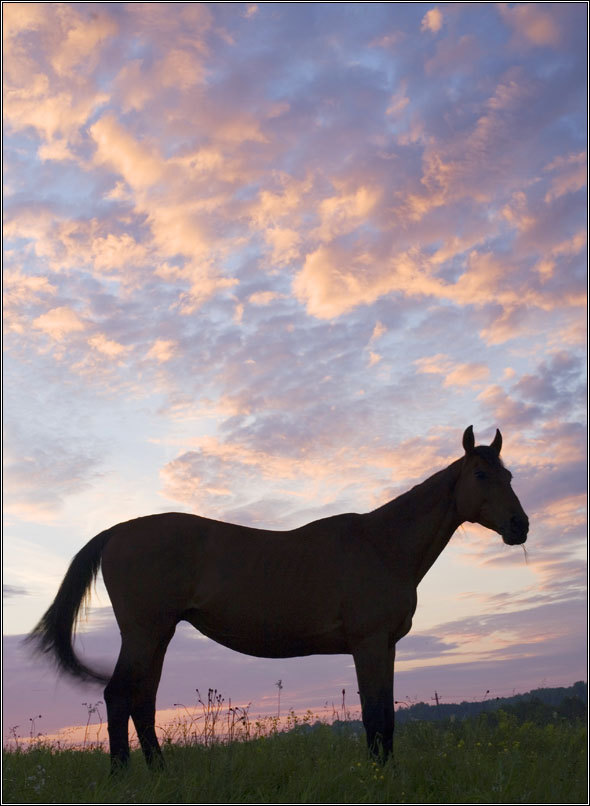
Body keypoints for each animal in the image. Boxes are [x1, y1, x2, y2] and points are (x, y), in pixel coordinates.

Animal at [25, 422, 528, 772]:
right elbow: (373, 717)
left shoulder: (385, 646)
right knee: (118, 697)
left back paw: (161, 774)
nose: (520, 526)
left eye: (508, 474)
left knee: (142, 703)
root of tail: (118, 531)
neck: (382, 545)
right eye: (480, 474)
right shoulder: (367, 644)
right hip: (144, 633)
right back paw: (122, 777)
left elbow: (386, 719)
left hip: (157, 636)